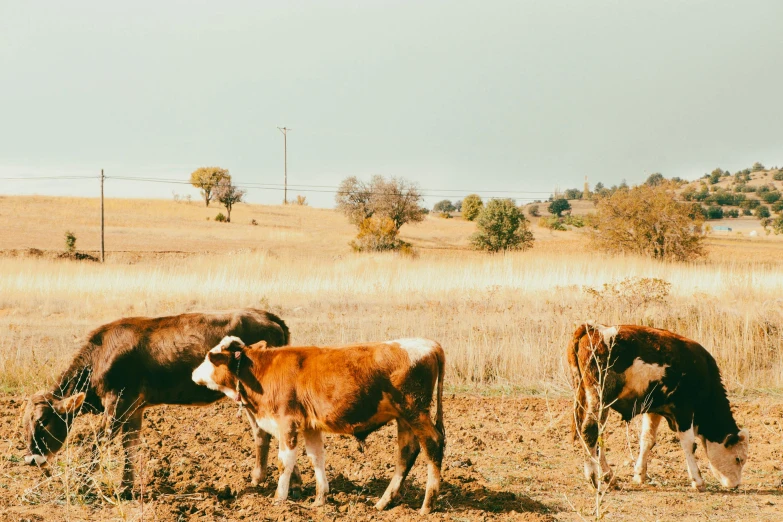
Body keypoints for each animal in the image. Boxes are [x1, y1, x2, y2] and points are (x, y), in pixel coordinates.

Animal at [191, 338, 448, 512]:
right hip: (404, 418)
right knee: (406, 453)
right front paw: (319, 499)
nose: (193, 373)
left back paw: (427, 505)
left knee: (433, 444)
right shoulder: (310, 426)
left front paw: (278, 499)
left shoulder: (287, 423)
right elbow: (317, 458)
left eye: (209, 357)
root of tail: (430, 344)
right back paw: (383, 502)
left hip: (414, 411)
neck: (261, 371)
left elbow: (285, 462)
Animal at [568, 320, 752, 488]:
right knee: (590, 431)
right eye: (738, 459)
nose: (736, 485)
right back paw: (596, 477)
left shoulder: (653, 410)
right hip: (600, 398)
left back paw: (607, 477)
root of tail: (592, 328)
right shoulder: (683, 410)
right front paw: (697, 480)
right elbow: (689, 444)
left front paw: (639, 475)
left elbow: (647, 440)